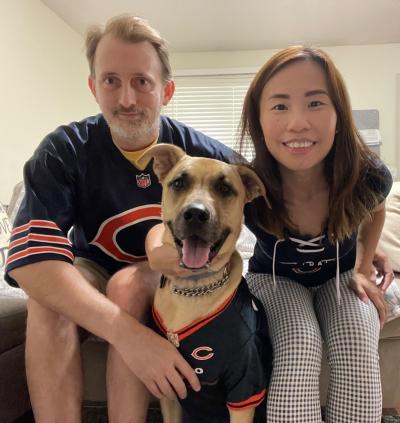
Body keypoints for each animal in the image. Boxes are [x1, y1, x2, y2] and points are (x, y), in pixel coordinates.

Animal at [138, 144, 272, 422]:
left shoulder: (244, 391)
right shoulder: (170, 388)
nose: (196, 214)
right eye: (179, 182)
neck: (193, 287)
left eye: (225, 189)